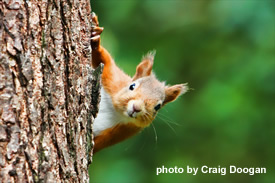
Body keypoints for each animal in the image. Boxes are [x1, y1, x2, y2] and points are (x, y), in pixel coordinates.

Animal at [91, 13, 189, 153]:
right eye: (132, 86)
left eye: (158, 107)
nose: (136, 108)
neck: (117, 112)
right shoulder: (114, 80)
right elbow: (104, 60)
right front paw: (96, 37)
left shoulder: (122, 132)